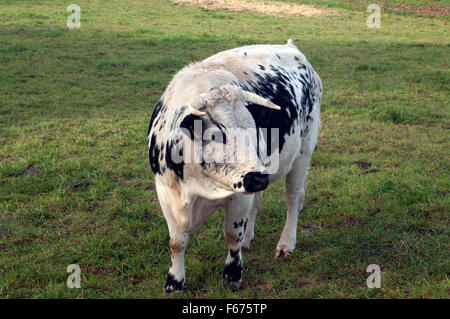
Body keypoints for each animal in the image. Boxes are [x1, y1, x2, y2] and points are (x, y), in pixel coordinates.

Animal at [149, 40, 322, 296]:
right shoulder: (165, 191)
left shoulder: (239, 195)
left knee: (293, 199)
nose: (258, 178)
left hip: (302, 153)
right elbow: (176, 242)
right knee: (258, 202)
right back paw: (249, 239)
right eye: (215, 135)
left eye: (254, 129)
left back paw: (285, 244)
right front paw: (174, 281)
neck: (195, 188)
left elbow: (232, 235)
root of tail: (292, 47)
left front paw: (233, 275)